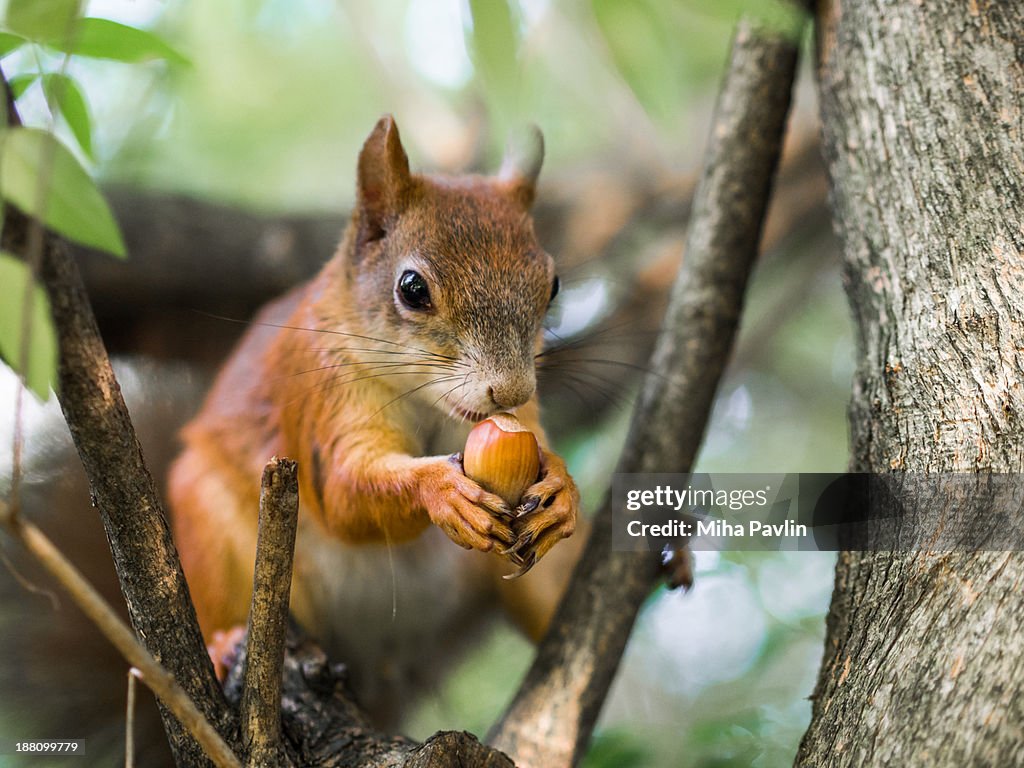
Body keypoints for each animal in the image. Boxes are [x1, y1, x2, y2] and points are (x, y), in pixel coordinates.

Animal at [167, 115, 585, 729]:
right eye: (412, 289)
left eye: (552, 284)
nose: (509, 391)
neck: (428, 404)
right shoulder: (326, 398)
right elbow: (344, 493)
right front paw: (439, 489)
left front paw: (561, 486)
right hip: (211, 530)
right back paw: (221, 646)